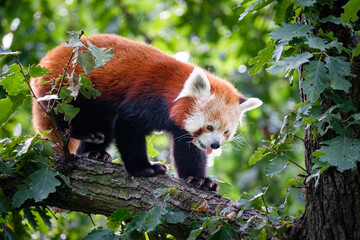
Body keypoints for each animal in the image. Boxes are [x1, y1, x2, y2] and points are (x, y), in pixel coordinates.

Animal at [31, 33, 262, 191]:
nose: (215, 145)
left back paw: (93, 152)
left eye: (226, 132)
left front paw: (199, 180)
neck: (172, 89)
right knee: (63, 115)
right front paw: (144, 168)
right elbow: (128, 129)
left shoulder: (181, 128)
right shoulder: (146, 97)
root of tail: (47, 58)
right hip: (67, 85)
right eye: (209, 126)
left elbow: (188, 150)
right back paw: (87, 133)